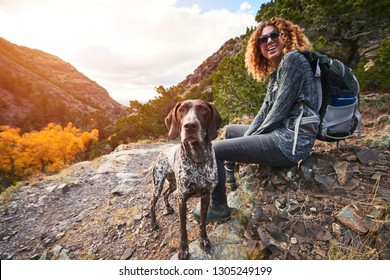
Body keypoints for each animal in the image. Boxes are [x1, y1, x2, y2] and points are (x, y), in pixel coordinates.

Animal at [150, 99, 221, 260]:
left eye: (203, 109)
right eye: (182, 109)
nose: (189, 126)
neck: (198, 159)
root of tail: (162, 152)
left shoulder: (206, 196)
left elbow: (202, 222)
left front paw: (204, 240)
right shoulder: (182, 199)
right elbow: (183, 229)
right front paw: (183, 250)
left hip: (173, 185)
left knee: (165, 194)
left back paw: (168, 208)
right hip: (158, 184)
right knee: (152, 202)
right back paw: (153, 222)